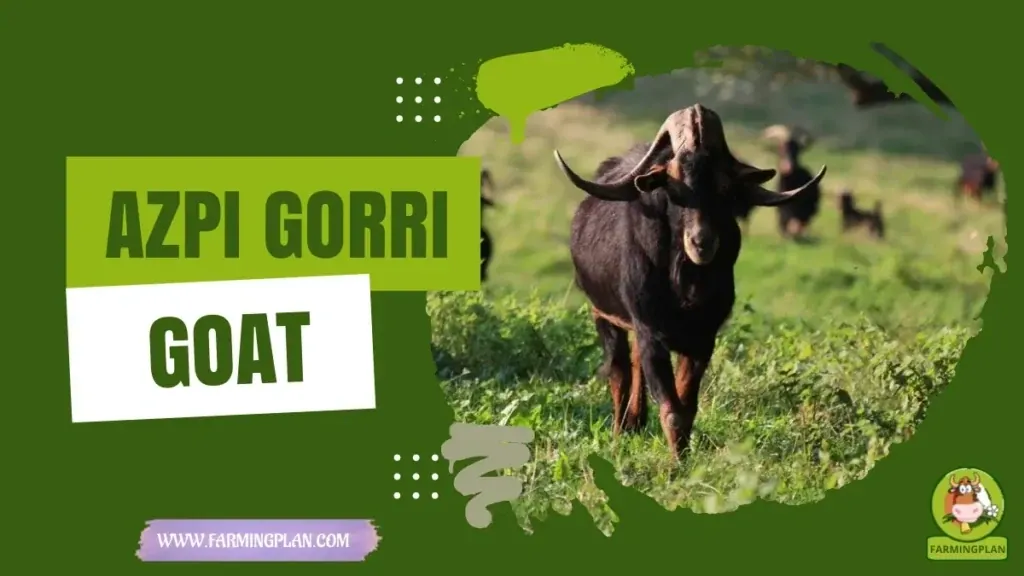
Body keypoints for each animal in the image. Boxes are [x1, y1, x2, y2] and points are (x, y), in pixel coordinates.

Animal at [553, 104, 826, 459]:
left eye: (724, 188)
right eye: (674, 187)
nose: (702, 242)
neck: (683, 286)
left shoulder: (701, 339)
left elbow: (687, 406)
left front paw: (683, 458)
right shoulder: (650, 332)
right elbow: (671, 408)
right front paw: (676, 465)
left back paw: (635, 423)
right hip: (603, 316)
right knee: (619, 372)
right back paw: (620, 431)